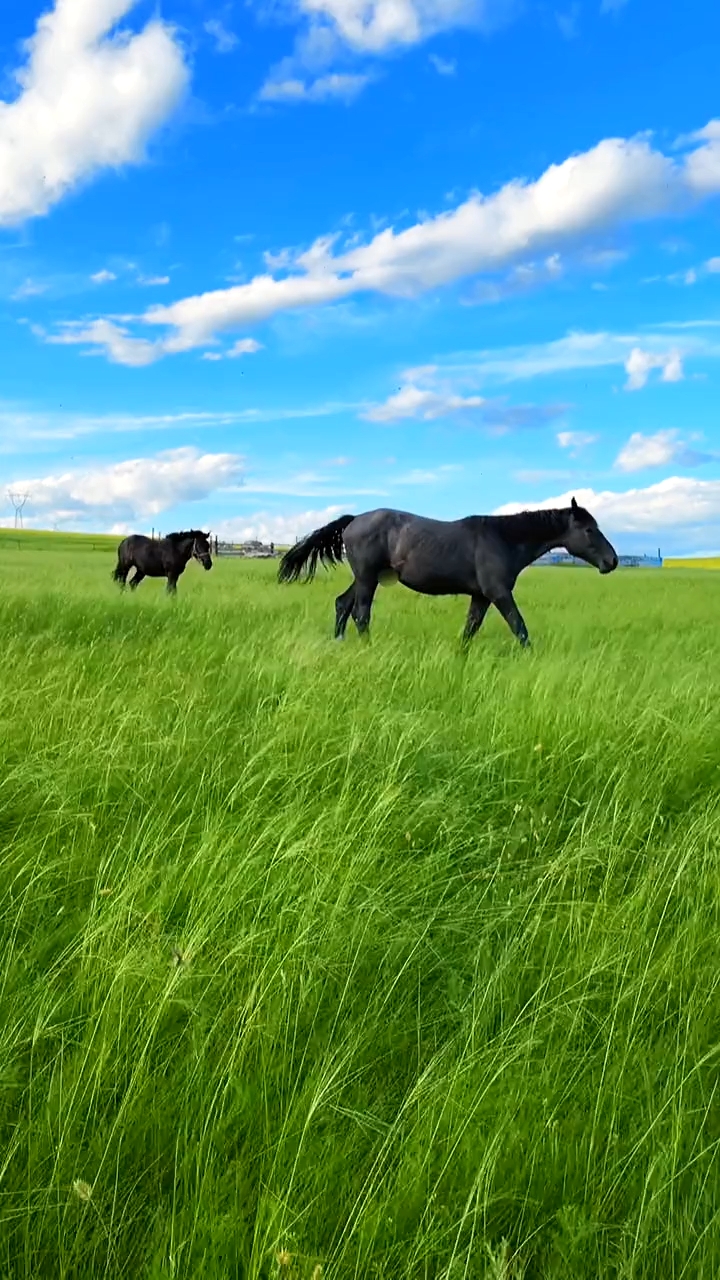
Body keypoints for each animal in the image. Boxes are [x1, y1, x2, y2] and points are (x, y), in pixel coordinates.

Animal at [278, 499, 618, 648]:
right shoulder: (498, 593)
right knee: (361, 613)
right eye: (589, 529)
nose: (612, 561)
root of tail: (354, 519)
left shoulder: (481, 596)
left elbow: (470, 629)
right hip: (367, 579)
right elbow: (519, 628)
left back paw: (339, 642)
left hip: (364, 578)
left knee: (342, 604)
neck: (503, 539)